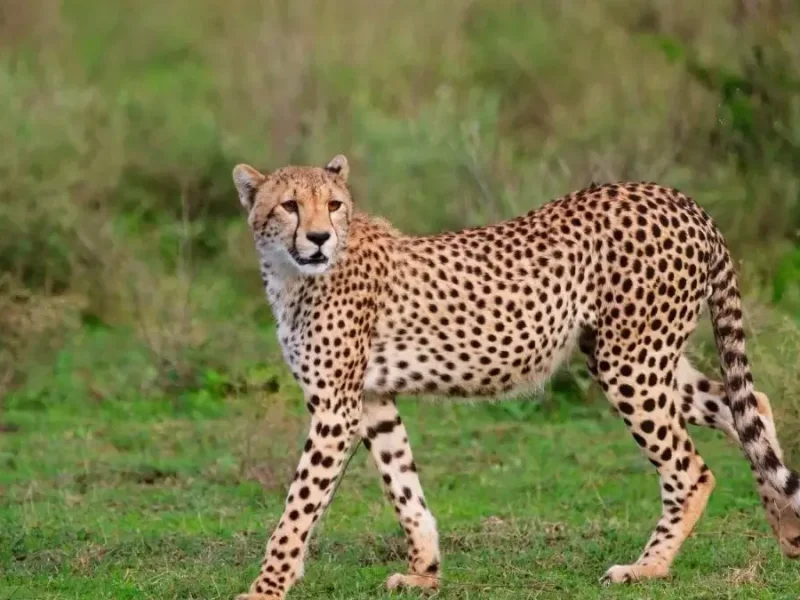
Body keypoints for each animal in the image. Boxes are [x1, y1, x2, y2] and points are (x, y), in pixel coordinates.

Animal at [231, 154, 800, 599]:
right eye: (289, 205)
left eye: (332, 205)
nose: (319, 238)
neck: (293, 274)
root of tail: (678, 199)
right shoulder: (372, 401)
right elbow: (404, 487)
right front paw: (425, 572)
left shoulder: (336, 408)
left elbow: (299, 507)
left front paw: (266, 588)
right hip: (637, 354)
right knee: (748, 404)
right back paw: (788, 530)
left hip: (629, 360)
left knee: (691, 468)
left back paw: (648, 567)